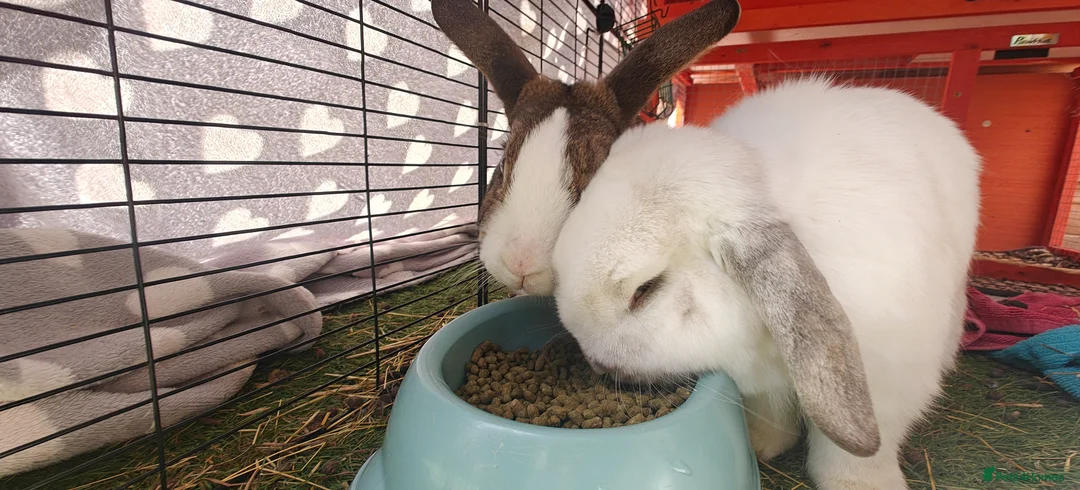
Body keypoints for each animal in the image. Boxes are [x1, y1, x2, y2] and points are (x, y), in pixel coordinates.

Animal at [549, 77, 982, 490]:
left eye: (644, 290)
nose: (596, 364)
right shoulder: (764, 387)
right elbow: (772, 412)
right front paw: (759, 445)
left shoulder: (887, 384)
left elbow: (857, 454)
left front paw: (860, 485)